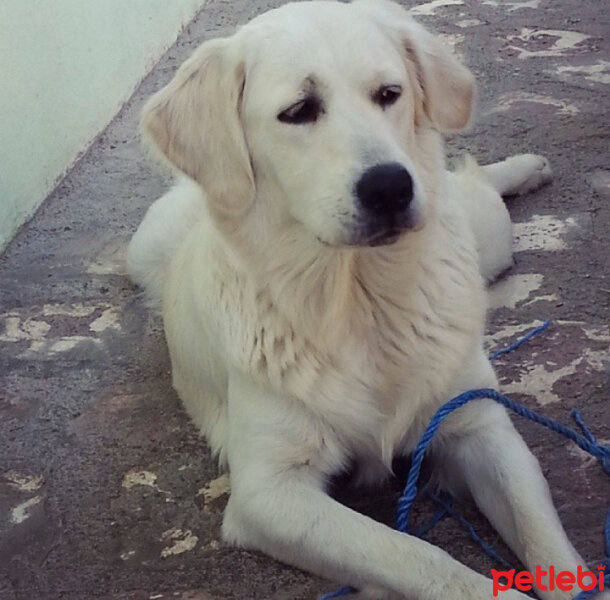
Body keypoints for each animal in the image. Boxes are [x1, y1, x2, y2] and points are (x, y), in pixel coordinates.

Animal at [127, 1, 600, 600]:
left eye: (388, 94)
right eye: (299, 110)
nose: (391, 187)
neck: (361, 301)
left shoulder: (478, 426)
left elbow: (552, 547)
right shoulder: (269, 495)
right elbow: (423, 558)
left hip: (485, 237)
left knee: (471, 181)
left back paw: (524, 168)